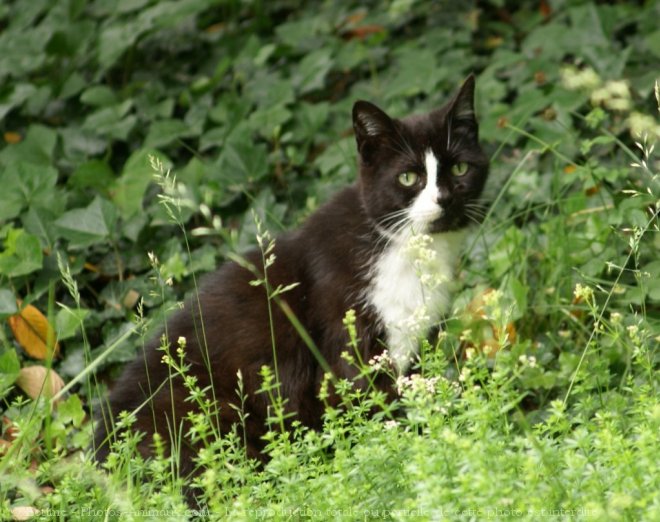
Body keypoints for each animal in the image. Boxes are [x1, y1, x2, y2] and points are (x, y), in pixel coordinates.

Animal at [95, 74, 490, 476]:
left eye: (460, 169)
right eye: (409, 177)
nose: (445, 199)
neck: (404, 248)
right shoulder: (347, 338)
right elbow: (371, 406)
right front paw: (397, 454)